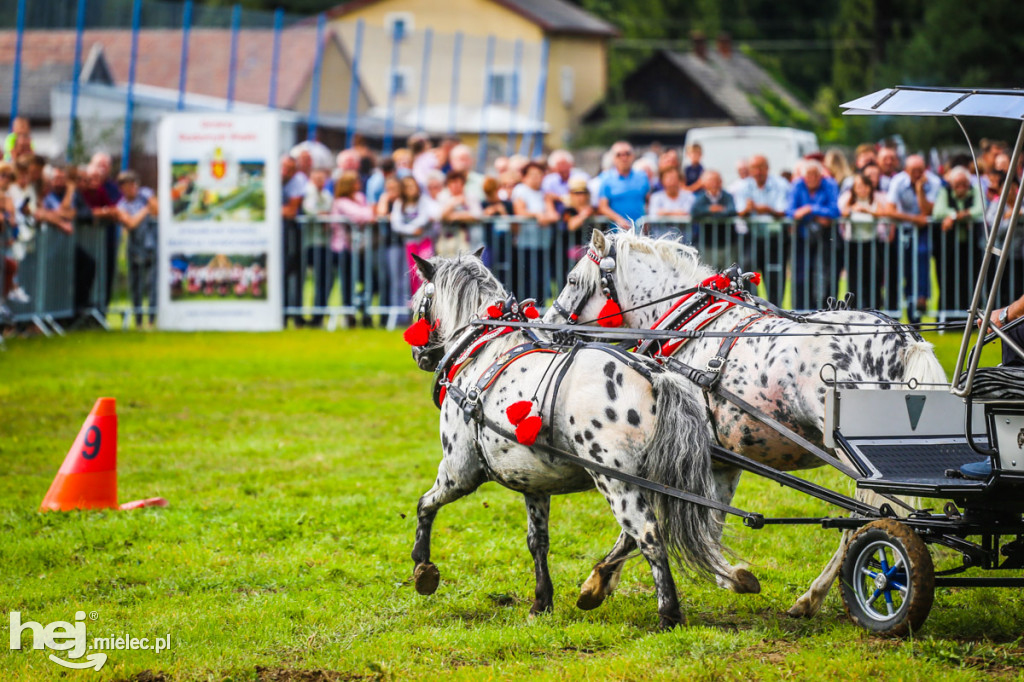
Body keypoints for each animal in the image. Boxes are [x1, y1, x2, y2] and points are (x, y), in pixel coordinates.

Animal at [403, 250, 749, 626]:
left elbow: (424, 505)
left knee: (648, 536)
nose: (419, 355)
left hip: (617, 483)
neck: (485, 352)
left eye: (419, 302)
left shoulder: (458, 471)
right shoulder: (534, 484)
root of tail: (654, 376)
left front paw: (423, 568)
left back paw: (668, 614)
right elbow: (537, 541)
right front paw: (541, 601)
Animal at [548, 228, 946, 614]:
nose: (550, 327)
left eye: (571, 279)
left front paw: (597, 582)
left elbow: (642, 523)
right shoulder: (722, 462)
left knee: (867, 520)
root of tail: (902, 340)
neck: (689, 327)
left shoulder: (685, 452)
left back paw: (822, 594)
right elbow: (708, 524)